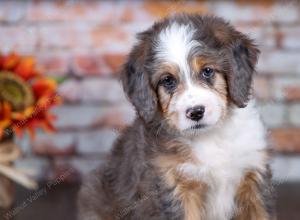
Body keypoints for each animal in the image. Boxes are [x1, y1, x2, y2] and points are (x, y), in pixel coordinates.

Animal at [78, 13, 276, 220]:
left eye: (207, 71)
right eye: (168, 80)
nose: (195, 112)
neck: (210, 137)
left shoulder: (253, 176)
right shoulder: (174, 186)